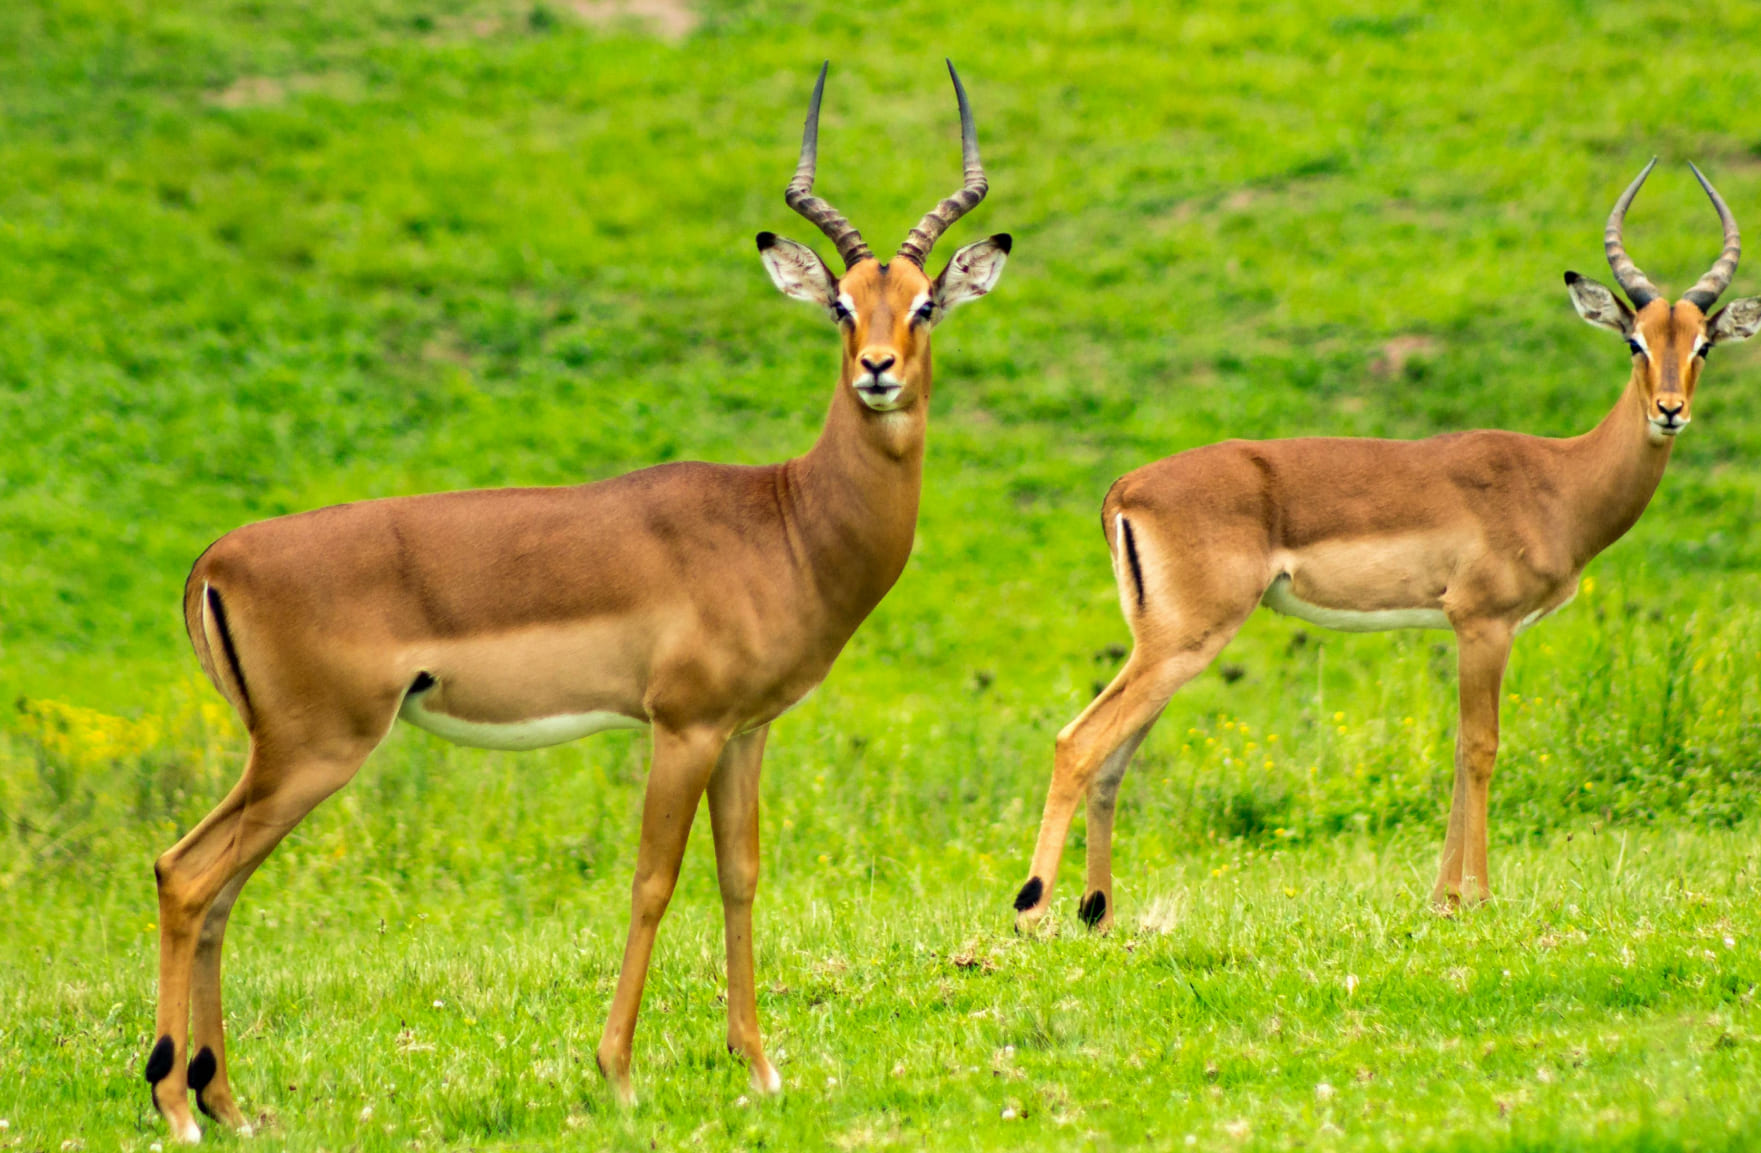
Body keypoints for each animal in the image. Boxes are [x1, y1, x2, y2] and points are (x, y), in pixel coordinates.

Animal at [144, 65, 1014, 1147]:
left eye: (926, 303)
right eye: (841, 308)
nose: (878, 371)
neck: (784, 520)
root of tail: (216, 560)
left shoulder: (746, 732)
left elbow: (740, 875)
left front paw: (760, 1069)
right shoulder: (681, 727)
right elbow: (652, 881)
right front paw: (618, 1075)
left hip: (281, 757)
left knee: (210, 883)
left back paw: (226, 1100)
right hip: (313, 750)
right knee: (188, 874)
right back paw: (175, 1105)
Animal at [1014, 161, 1753, 936]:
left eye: (1700, 343)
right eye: (1635, 341)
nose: (1669, 411)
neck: (1558, 479)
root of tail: (1124, 489)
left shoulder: (1469, 630)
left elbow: (1458, 750)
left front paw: (1443, 899)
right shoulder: (1483, 625)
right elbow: (1482, 748)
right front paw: (1479, 898)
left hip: (1163, 648)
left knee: (1111, 758)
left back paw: (1097, 912)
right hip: (1183, 644)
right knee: (1078, 742)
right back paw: (1031, 911)